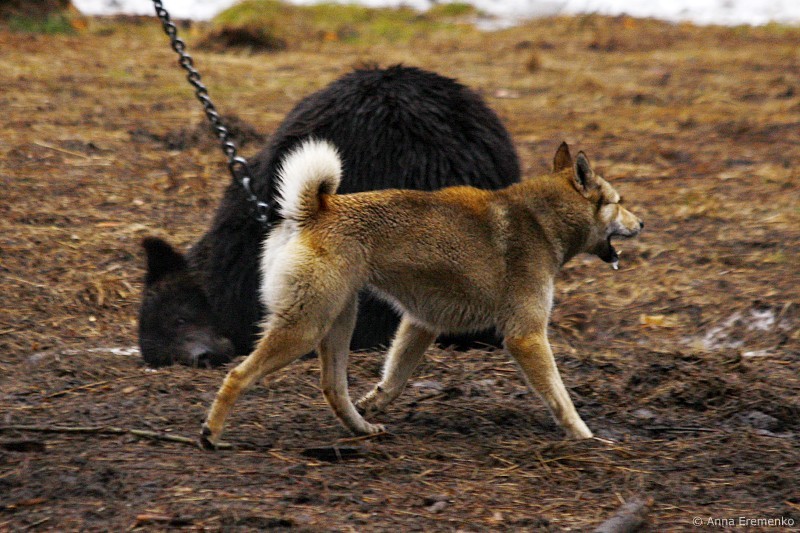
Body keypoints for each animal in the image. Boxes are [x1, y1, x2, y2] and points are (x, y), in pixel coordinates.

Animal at [200, 140, 643, 445]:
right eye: (619, 202)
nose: (641, 223)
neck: (540, 220)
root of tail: (316, 209)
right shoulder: (526, 336)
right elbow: (560, 397)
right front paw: (586, 436)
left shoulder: (421, 324)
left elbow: (394, 379)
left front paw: (375, 402)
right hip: (305, 328)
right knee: (237, 375)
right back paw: (212, 434)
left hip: (338, 321)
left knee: (333, 388)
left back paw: (362, 427)